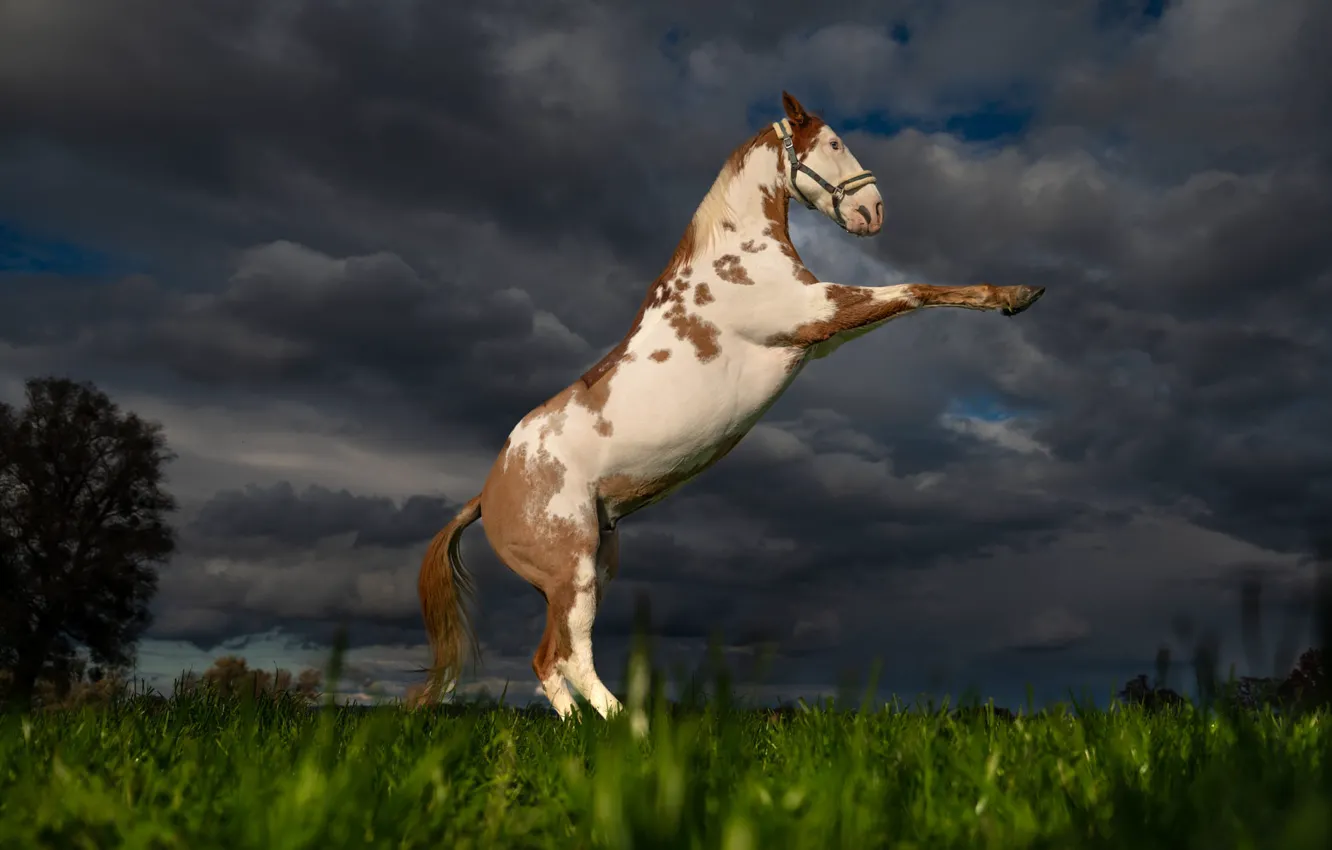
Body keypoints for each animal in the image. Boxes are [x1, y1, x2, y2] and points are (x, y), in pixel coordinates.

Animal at [417, 91, 1045, 718]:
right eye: (835, 142)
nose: (874, 211)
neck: (736, 259)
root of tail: (487, 494)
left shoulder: (822, 338)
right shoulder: (820, 314)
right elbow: (917, 291)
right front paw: (1016, 294)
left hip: (592, 565)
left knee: (549, 660)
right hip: (571, 569)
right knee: (573, 656)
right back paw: (633, 724)